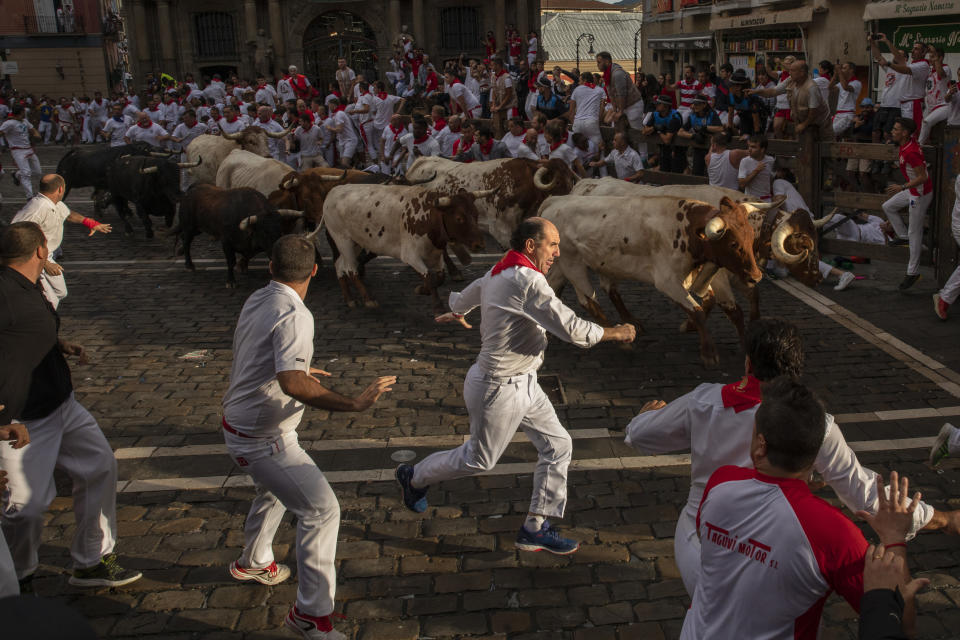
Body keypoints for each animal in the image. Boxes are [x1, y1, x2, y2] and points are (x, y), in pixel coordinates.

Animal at [322, 184, 492, 312]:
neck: (427, 217)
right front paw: (437, 306)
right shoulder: (411, 255)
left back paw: (349, 299)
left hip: (356, 242)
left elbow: (440, 277)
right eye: (459, 218)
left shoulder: (436, 254)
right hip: (343, 240)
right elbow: (429, 276)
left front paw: (422, 290)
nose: (480, 244)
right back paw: (368, 299)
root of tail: (333, 192)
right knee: (351, 269)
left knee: (340, 265)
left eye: (476, 214)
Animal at [544, 192, 768, 368]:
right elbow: (697, 311)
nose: (756, 276)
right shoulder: (667, 281)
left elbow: (715, 303)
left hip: (563, 265)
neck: (686, 228)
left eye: (750, 236)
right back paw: (621, 338)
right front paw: (709, 353)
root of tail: (554, 201)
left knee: (556, 288)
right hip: (572, 263)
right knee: (589, 301)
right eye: (733, 244)